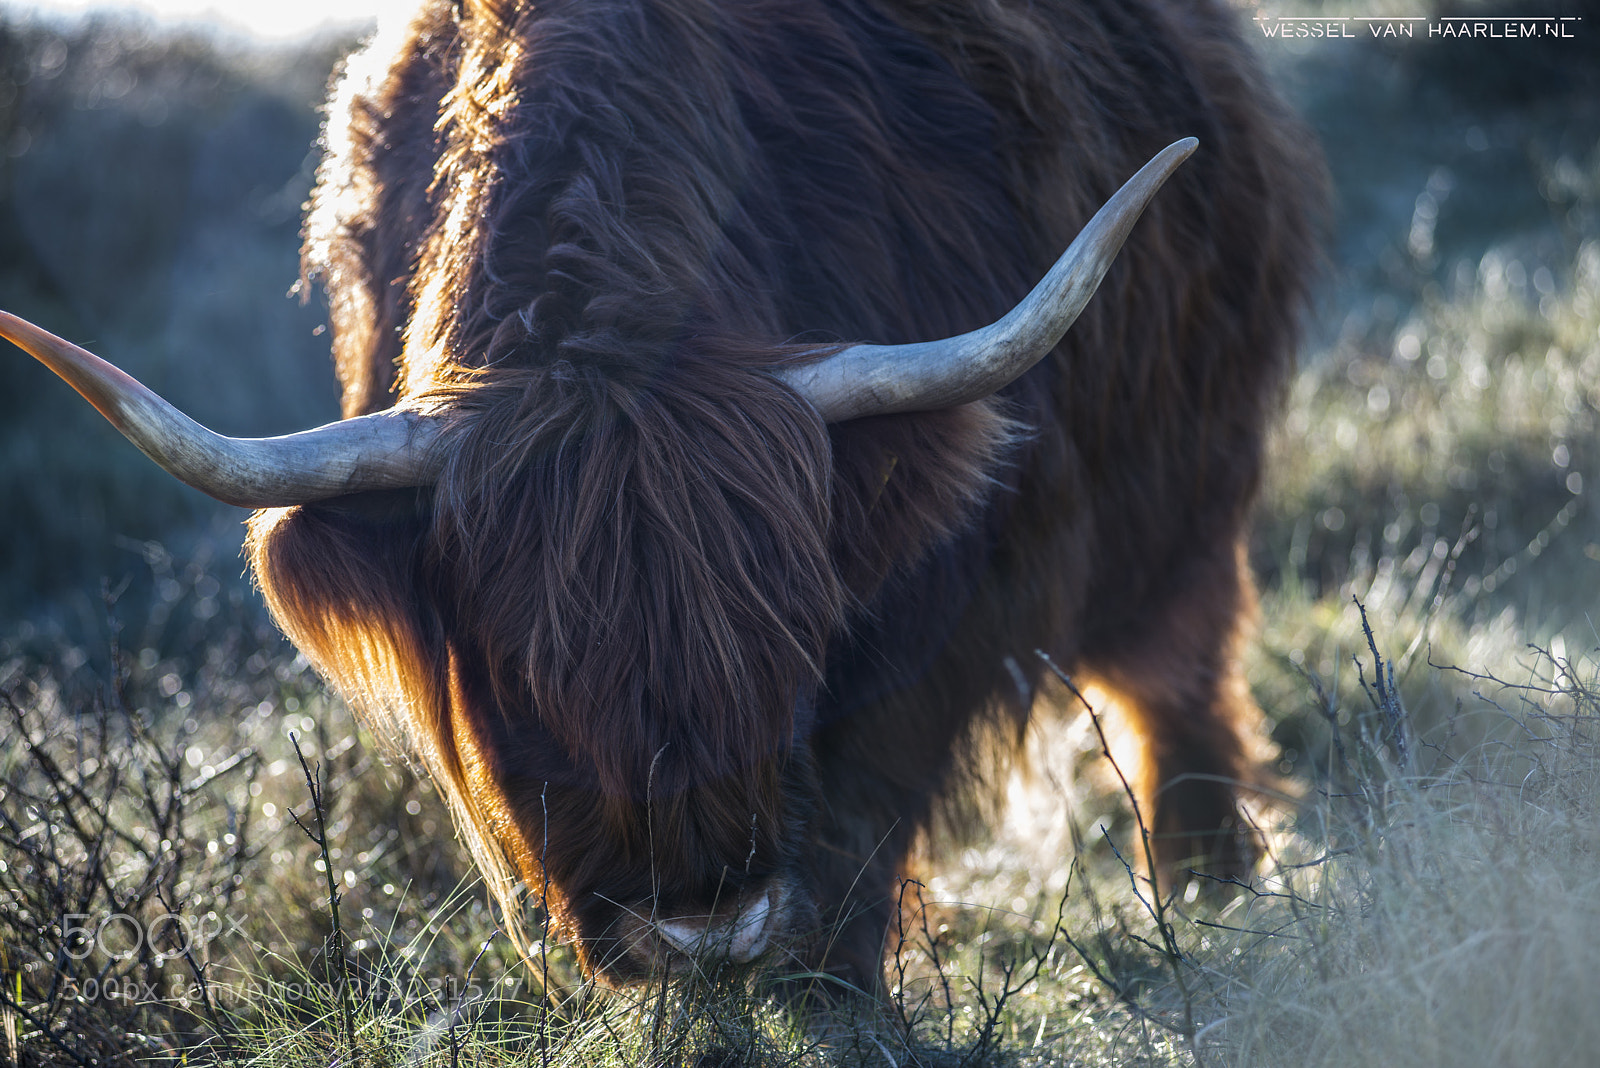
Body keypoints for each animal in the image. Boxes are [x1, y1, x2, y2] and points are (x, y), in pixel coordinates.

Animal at [2, 0, 1322, 995]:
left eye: (797, 634)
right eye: (524, 674)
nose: (705, 925)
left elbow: (859, 834)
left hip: (1182, 473)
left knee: (1174, 669)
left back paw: (1207, 879)